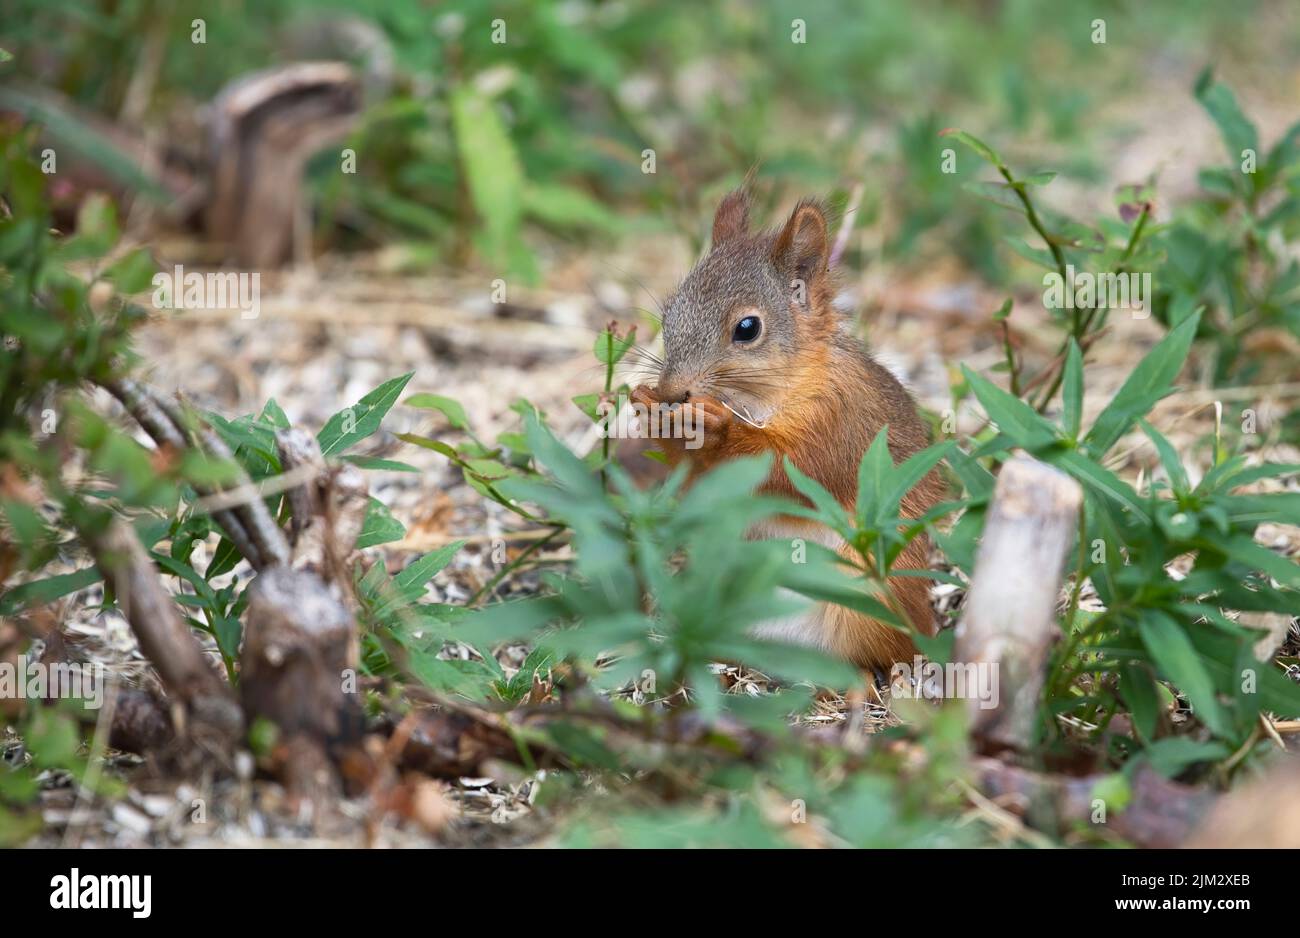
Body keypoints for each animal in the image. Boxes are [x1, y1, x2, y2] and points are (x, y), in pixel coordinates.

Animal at [629, 190, 945, 670]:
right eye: (668, 314)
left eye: (747, 328)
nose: (671, 391)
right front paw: (652, 413)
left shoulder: (841, 421)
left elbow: (799, 470)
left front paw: (716, 430)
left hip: (872, 601)